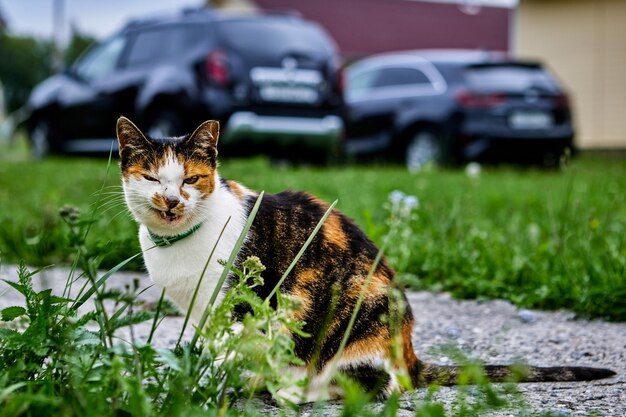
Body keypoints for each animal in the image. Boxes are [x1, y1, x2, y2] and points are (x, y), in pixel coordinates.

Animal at [117, 116, 616, 400]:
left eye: (191, 179)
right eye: (151, 178)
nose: (170, 201)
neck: (178, 244)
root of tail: (410, 353)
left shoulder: (240, 303)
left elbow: (229, 349)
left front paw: (210, 387)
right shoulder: (202, 312)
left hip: (354, 312)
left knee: (374, 387)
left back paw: (292, 390)